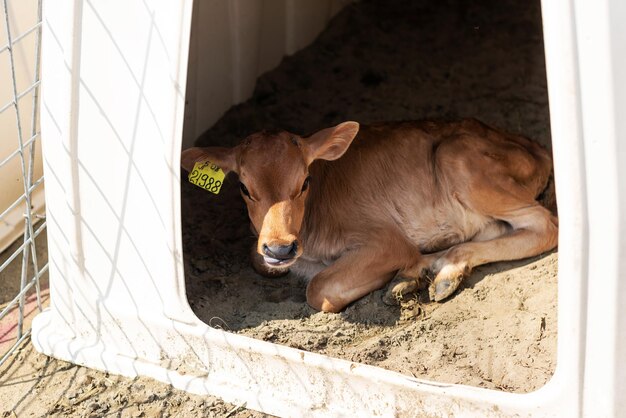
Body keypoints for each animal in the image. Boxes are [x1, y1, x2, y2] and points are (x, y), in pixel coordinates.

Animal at [180, 119, 556, 312]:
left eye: (305, 181)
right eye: (244, 187)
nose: (280, 248)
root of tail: (535, 145)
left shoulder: (385, 240)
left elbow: (318, 288)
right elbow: (258, 259)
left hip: (457, 157)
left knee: (546, 225)